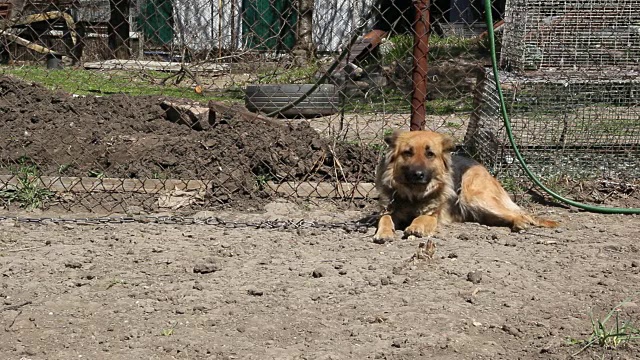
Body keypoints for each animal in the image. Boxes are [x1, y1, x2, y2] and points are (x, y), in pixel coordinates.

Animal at [372, 129, 556, 242]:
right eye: (407, 153)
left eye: (430, 154)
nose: (418, 174)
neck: (414, 195)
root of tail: (477, 164)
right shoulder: (389, 209)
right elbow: (384, 218)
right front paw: (384, 232)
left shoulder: (433, 215)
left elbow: (422, 217)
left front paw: (416, 226)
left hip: (474, 198)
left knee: (519, 214)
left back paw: (520, 222)